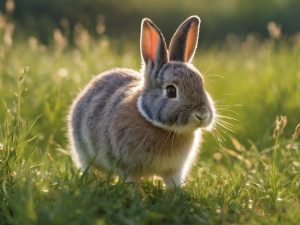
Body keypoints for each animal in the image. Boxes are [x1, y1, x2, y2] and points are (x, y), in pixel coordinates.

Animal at [68, 15, 216, 187]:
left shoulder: (174, 170)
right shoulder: (127, 167)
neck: (165, 129)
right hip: (82, 151)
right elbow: (132, 182)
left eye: (202, 84)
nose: (202, 114)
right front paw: (138, 194)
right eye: (171, 91)